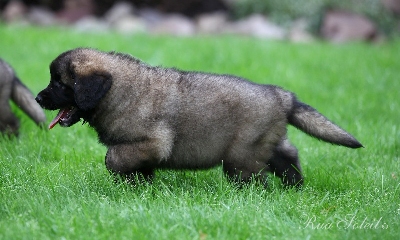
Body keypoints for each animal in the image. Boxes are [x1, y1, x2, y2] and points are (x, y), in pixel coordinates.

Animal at [36, 48, 364, 188]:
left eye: (59, 84)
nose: (38, 99)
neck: (119, 91)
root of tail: (281, 96)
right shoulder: (143, 149)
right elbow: (134, 168)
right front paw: (140, 187)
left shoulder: (152, 142)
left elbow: (113, 158)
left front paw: (128, 181)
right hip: (267, 143)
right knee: (288, 156)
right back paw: (295, 187)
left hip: (241, 154)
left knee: (254, 178)